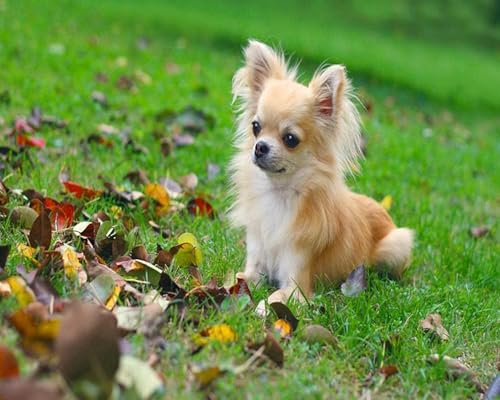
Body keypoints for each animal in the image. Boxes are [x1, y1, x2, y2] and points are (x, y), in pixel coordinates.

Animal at [229, 41, 412, 304]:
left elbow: (275, 298)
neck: (280, 194)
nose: (260, 146)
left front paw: (263, 307)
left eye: (290, 139)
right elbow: (237, 281)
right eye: (256, 127)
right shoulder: (253, 264)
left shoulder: (297, 285)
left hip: (397, 245)